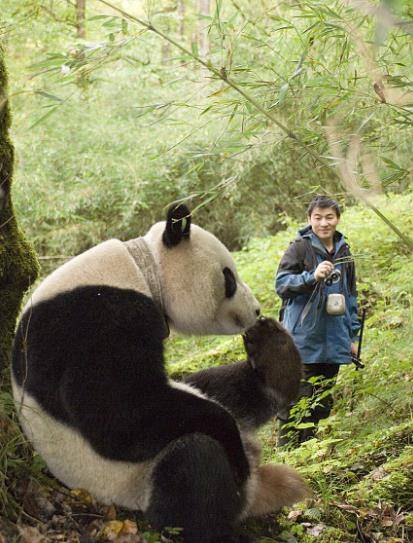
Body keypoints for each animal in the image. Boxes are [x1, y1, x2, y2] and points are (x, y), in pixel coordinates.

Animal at [12, 206, 306, 543]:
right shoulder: (91, 321)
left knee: (218, 389)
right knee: (193, 463)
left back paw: (276, 360)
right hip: (131, 482)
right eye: (228, 277)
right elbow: (119, 416)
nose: (256, 310)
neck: (142, 267)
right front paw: (228, 436)